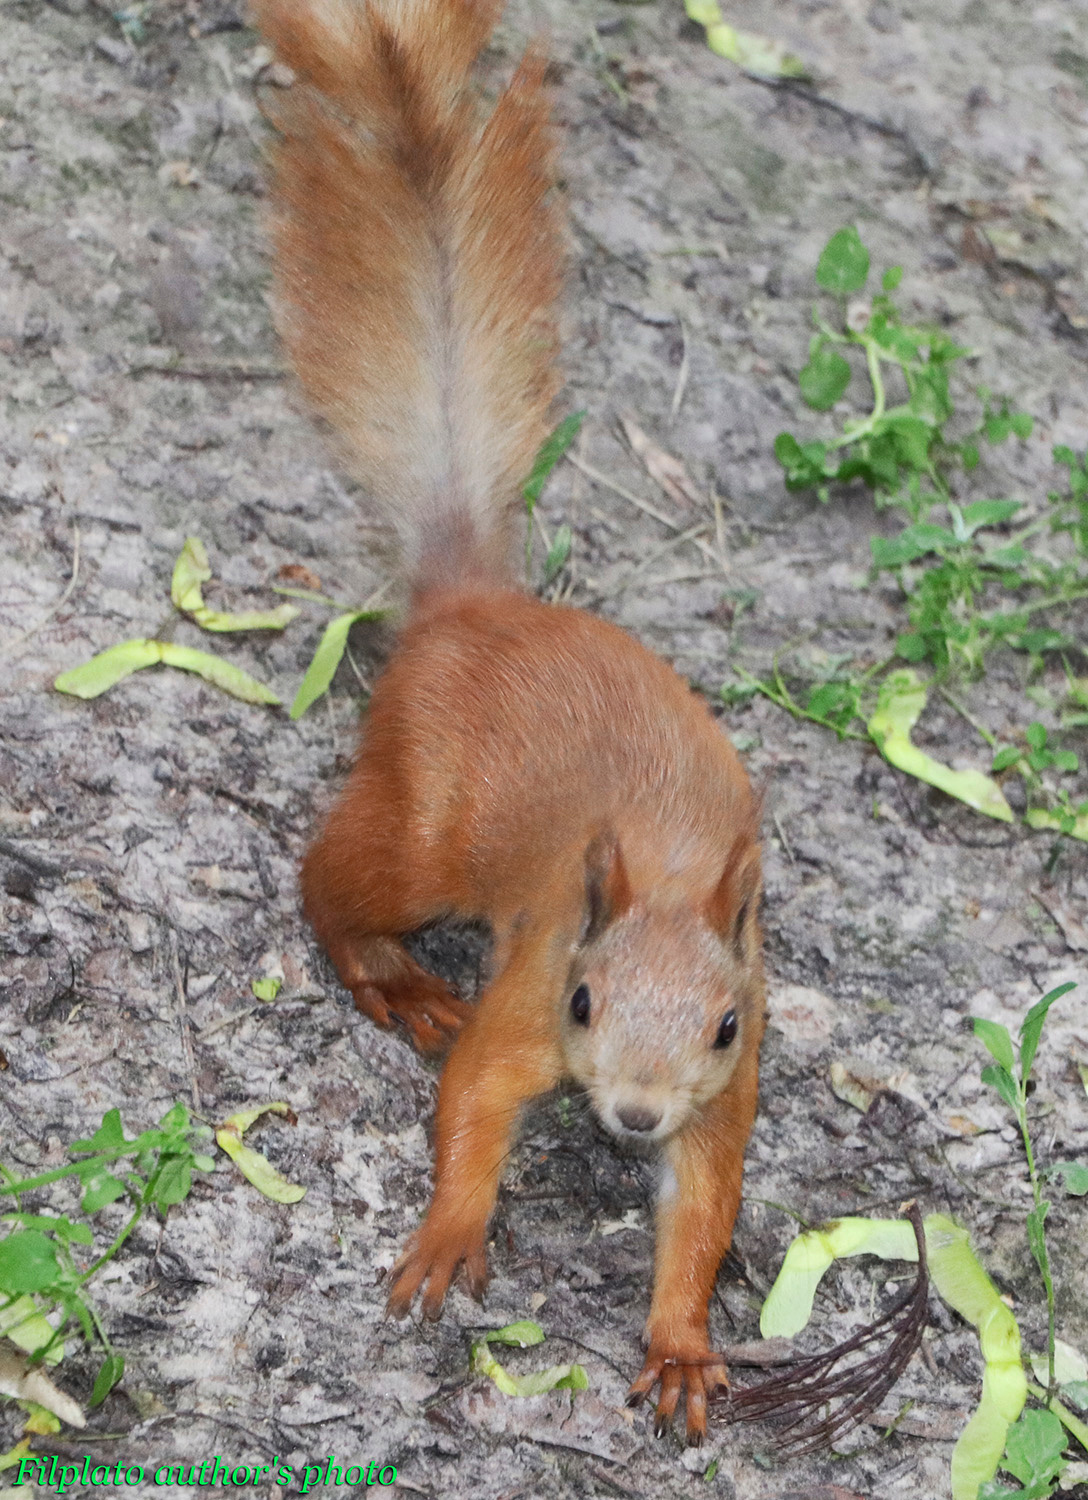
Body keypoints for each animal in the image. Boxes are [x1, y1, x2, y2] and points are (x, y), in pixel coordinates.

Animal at [253, 0, 765, 1446]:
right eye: (587, 998)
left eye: (720, 1026)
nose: (632, 1116)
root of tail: (471, 604)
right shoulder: (530, 990)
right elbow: (474, 1100)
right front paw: (447, 1237)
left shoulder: (729, 1094)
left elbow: (702, 1214)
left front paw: (681, 1345)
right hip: (421, 830)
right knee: (331, 879)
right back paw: (388, 973)